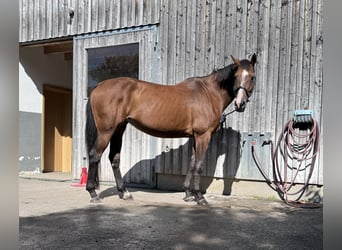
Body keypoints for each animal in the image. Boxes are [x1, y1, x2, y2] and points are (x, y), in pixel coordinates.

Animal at [85, 53, 256, 204]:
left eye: (252, 77)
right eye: (235, 76)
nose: (240, 104)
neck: (208, 94)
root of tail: (98, 86)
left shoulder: (195, 137)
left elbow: (192, 163)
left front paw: (188, 194)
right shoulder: (203, 135)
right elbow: (199, 165)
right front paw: (199, 197)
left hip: (119, 129)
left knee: (114, 158)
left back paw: (124, 192)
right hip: (106, 131)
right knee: (94, 156)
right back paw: (93, 194)